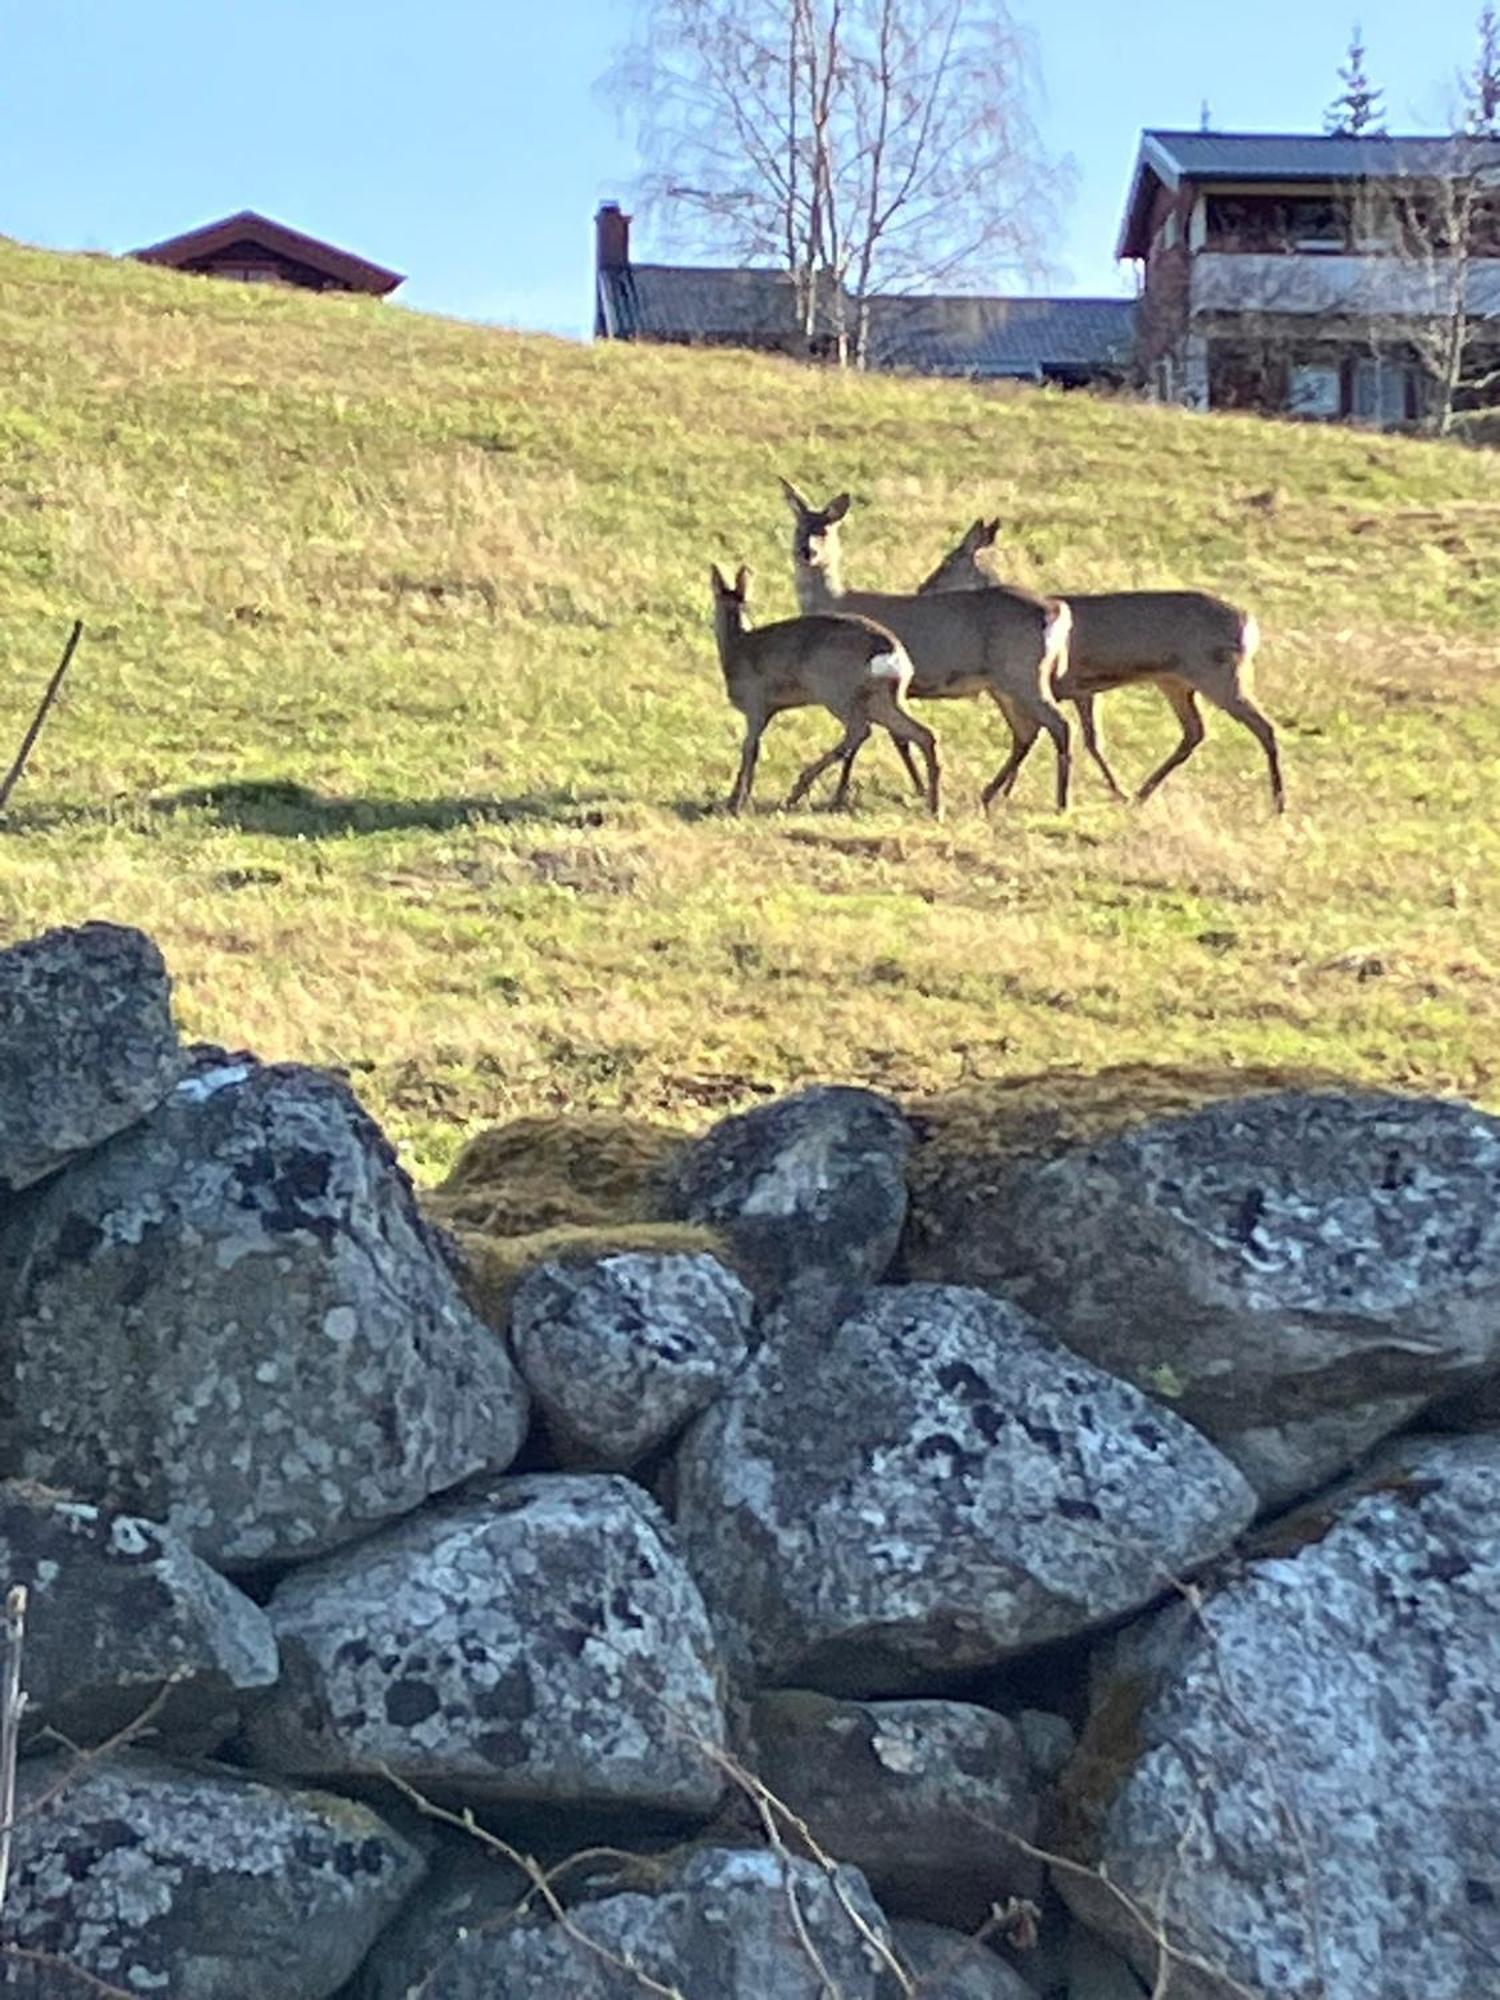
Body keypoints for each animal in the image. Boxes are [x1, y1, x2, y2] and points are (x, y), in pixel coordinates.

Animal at [708, 568, 940, 816]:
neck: (736, 645)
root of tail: (892, 651)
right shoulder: (766, 710)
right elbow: (753, 749)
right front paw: (737, 800)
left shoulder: (756, 705)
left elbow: (749, 748)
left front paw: (736, 803)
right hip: (884, 697)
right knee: (924, 734)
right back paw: (935, 808)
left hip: (837, 691)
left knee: (860, 730)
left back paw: (798, 789)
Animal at [776, 480, 1080, 808]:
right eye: (800, 527)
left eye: (825, 530)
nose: (807, 551)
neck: (836, 601)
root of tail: (1056, 610)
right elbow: (893, 740)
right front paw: (916, 788)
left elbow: (873, 741)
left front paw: (842, 794)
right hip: (1004, 683)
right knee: (1026, 730)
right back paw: (989, 794)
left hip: (1021, 672)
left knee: (1058, 724)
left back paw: (1061, 802)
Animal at [924, 528, 1288, 824]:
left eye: (947, 561)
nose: (924, 587)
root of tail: (1249, 624)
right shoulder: (1081, 690)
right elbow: (1087, 740)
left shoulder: (1070, 685)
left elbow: (1077, 738)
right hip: (1175, 681)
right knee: (1195, 731)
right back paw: (1143, 793)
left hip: (1219, 674)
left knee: (1263, 727)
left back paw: (1279, 803)